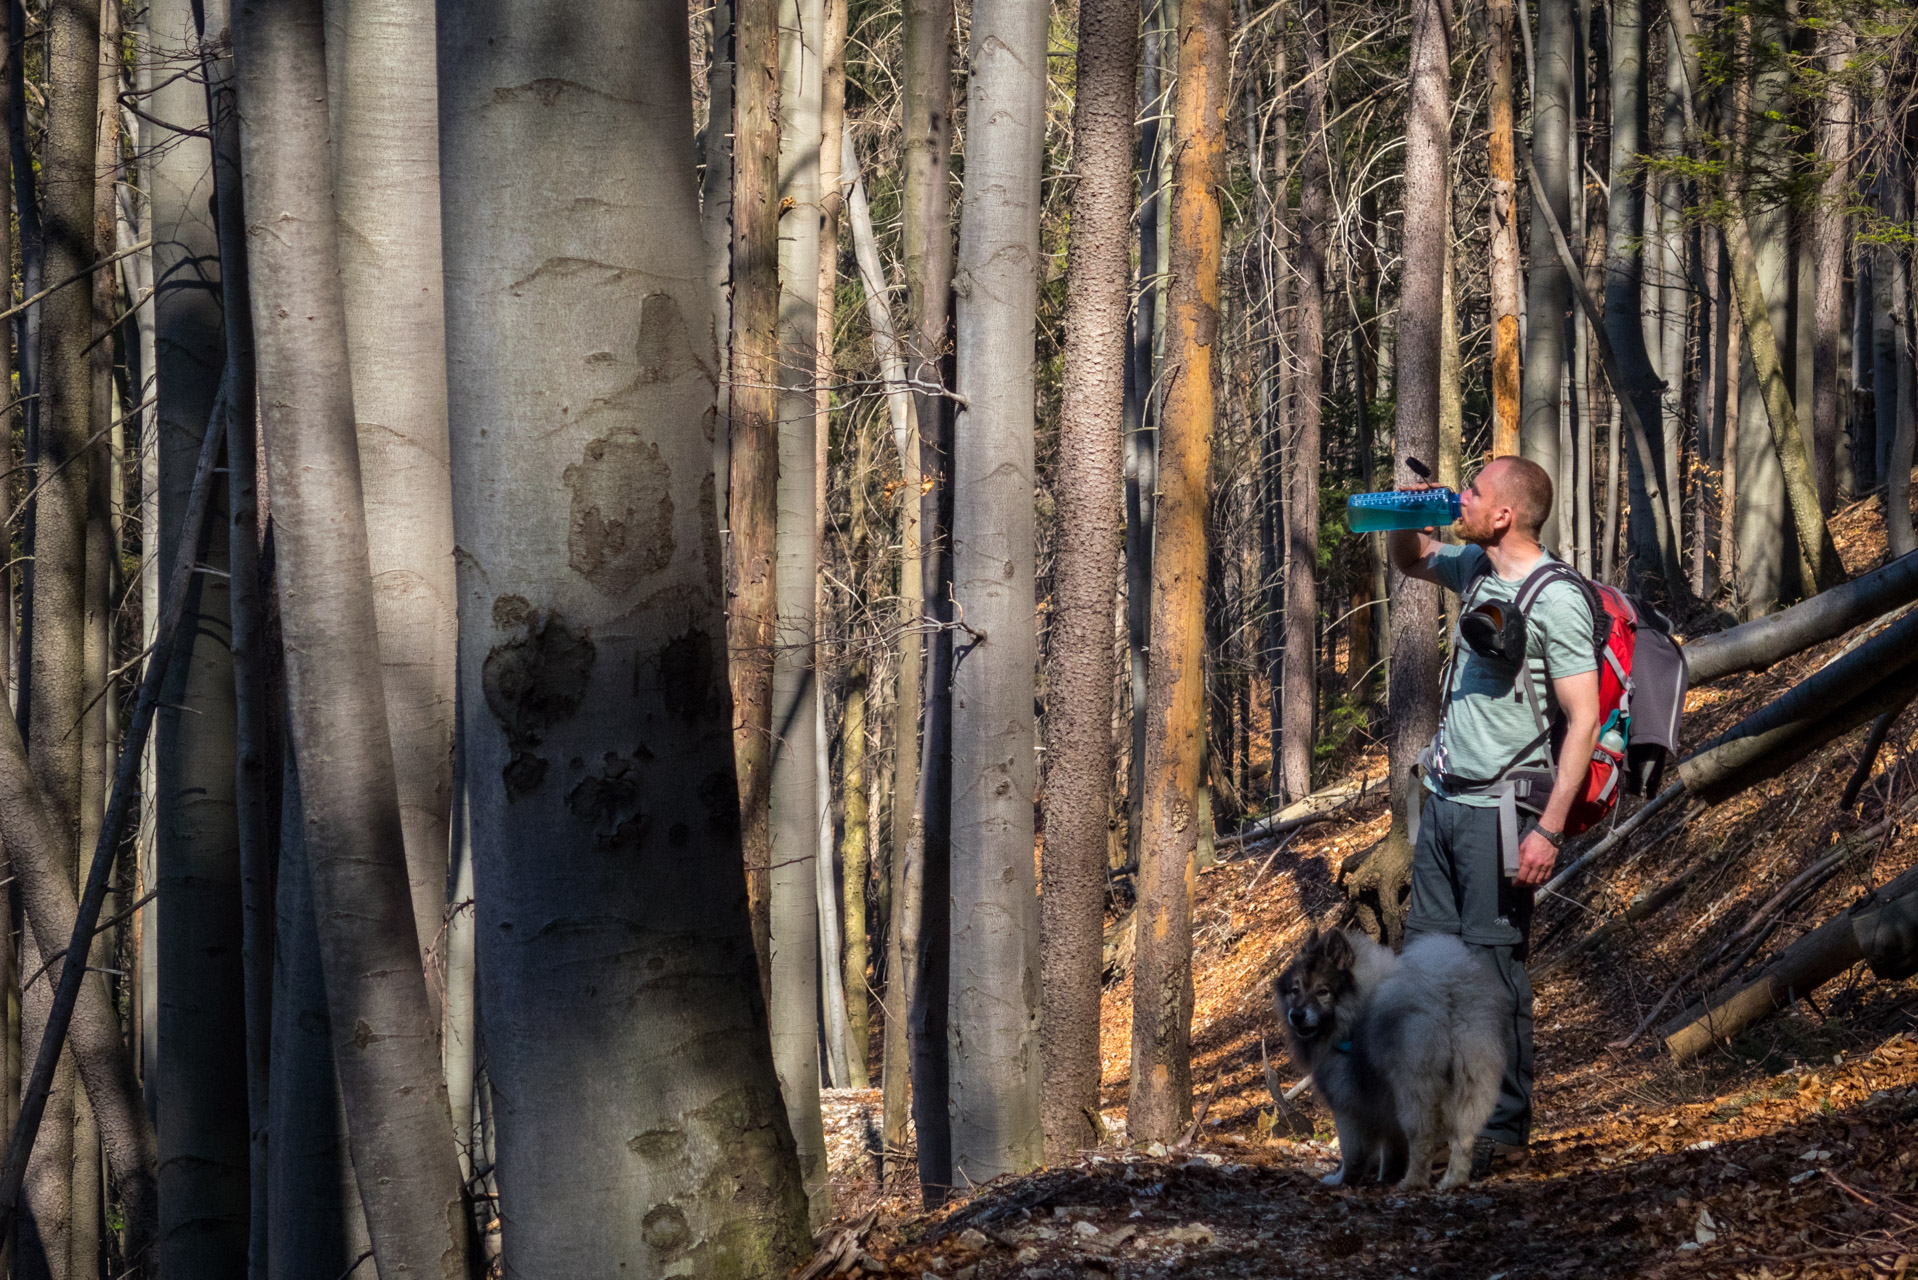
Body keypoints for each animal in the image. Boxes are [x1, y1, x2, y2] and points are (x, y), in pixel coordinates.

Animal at [1273, 932, 1511, 1189]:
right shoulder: (1385, 1107)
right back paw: (1451, 1182)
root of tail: (1448, 992)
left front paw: (1342, 1180)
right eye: (1295, 990)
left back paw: (1412, 1183)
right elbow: (1392, 1147)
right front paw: (1386, 1176)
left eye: (1322, 991)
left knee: (1423, 1138)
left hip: (1414, 1090)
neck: (1354, 1012)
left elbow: (1352, 1152)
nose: (1296, 1015)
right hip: (1468, 1083)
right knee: (1463, 1139)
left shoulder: (1348, 1103)